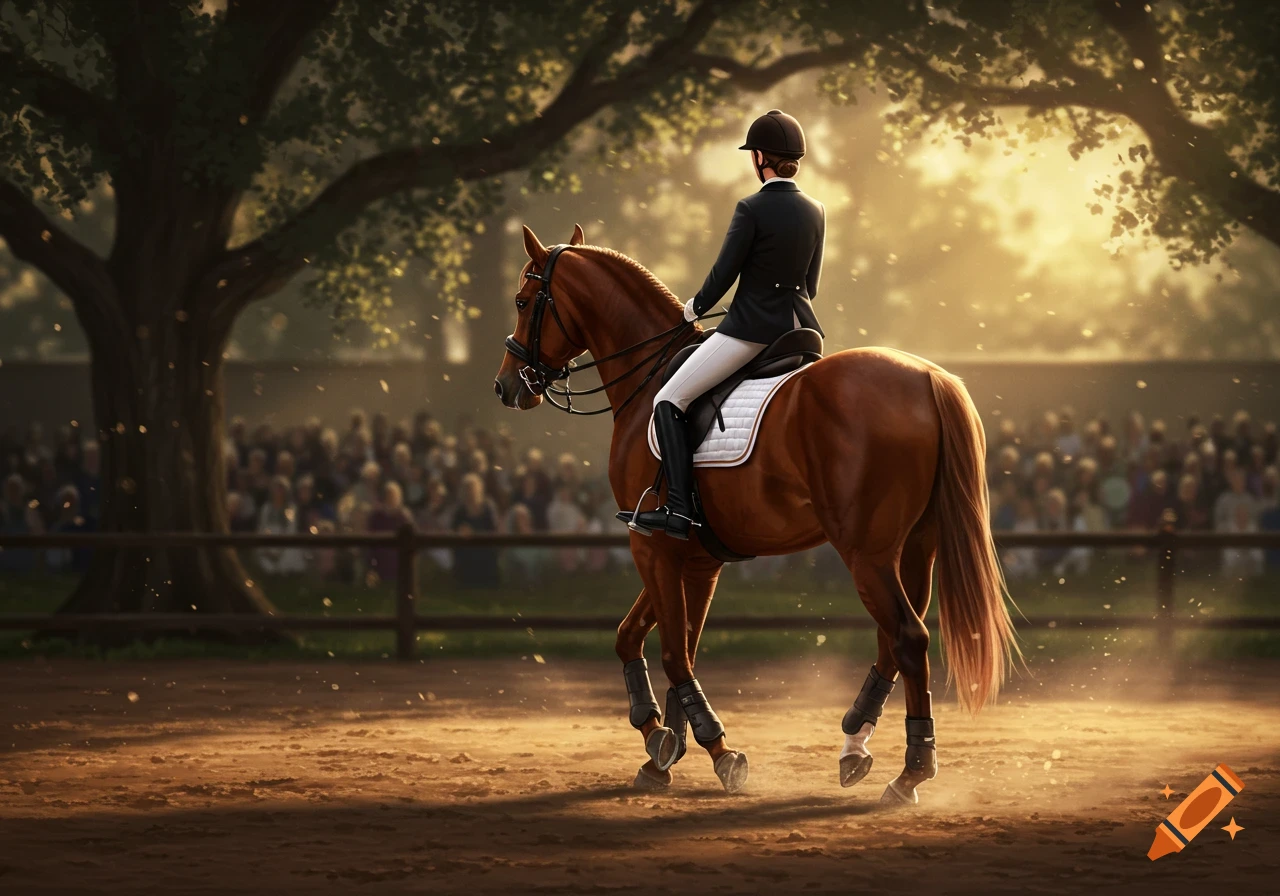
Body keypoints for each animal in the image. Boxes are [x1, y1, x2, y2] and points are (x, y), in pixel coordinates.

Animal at [494, 224, 1016, 803]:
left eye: (522, 301)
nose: (506, 386)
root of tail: (926, 377)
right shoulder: (696, 557)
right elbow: (652, 640)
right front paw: (664, 750)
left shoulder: (650, 543)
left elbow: (672, 652)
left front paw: (710, 750)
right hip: (913, 547)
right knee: (896, 640)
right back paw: (853, 747)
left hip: (866, 552)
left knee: (908, 637)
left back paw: (910, 773)